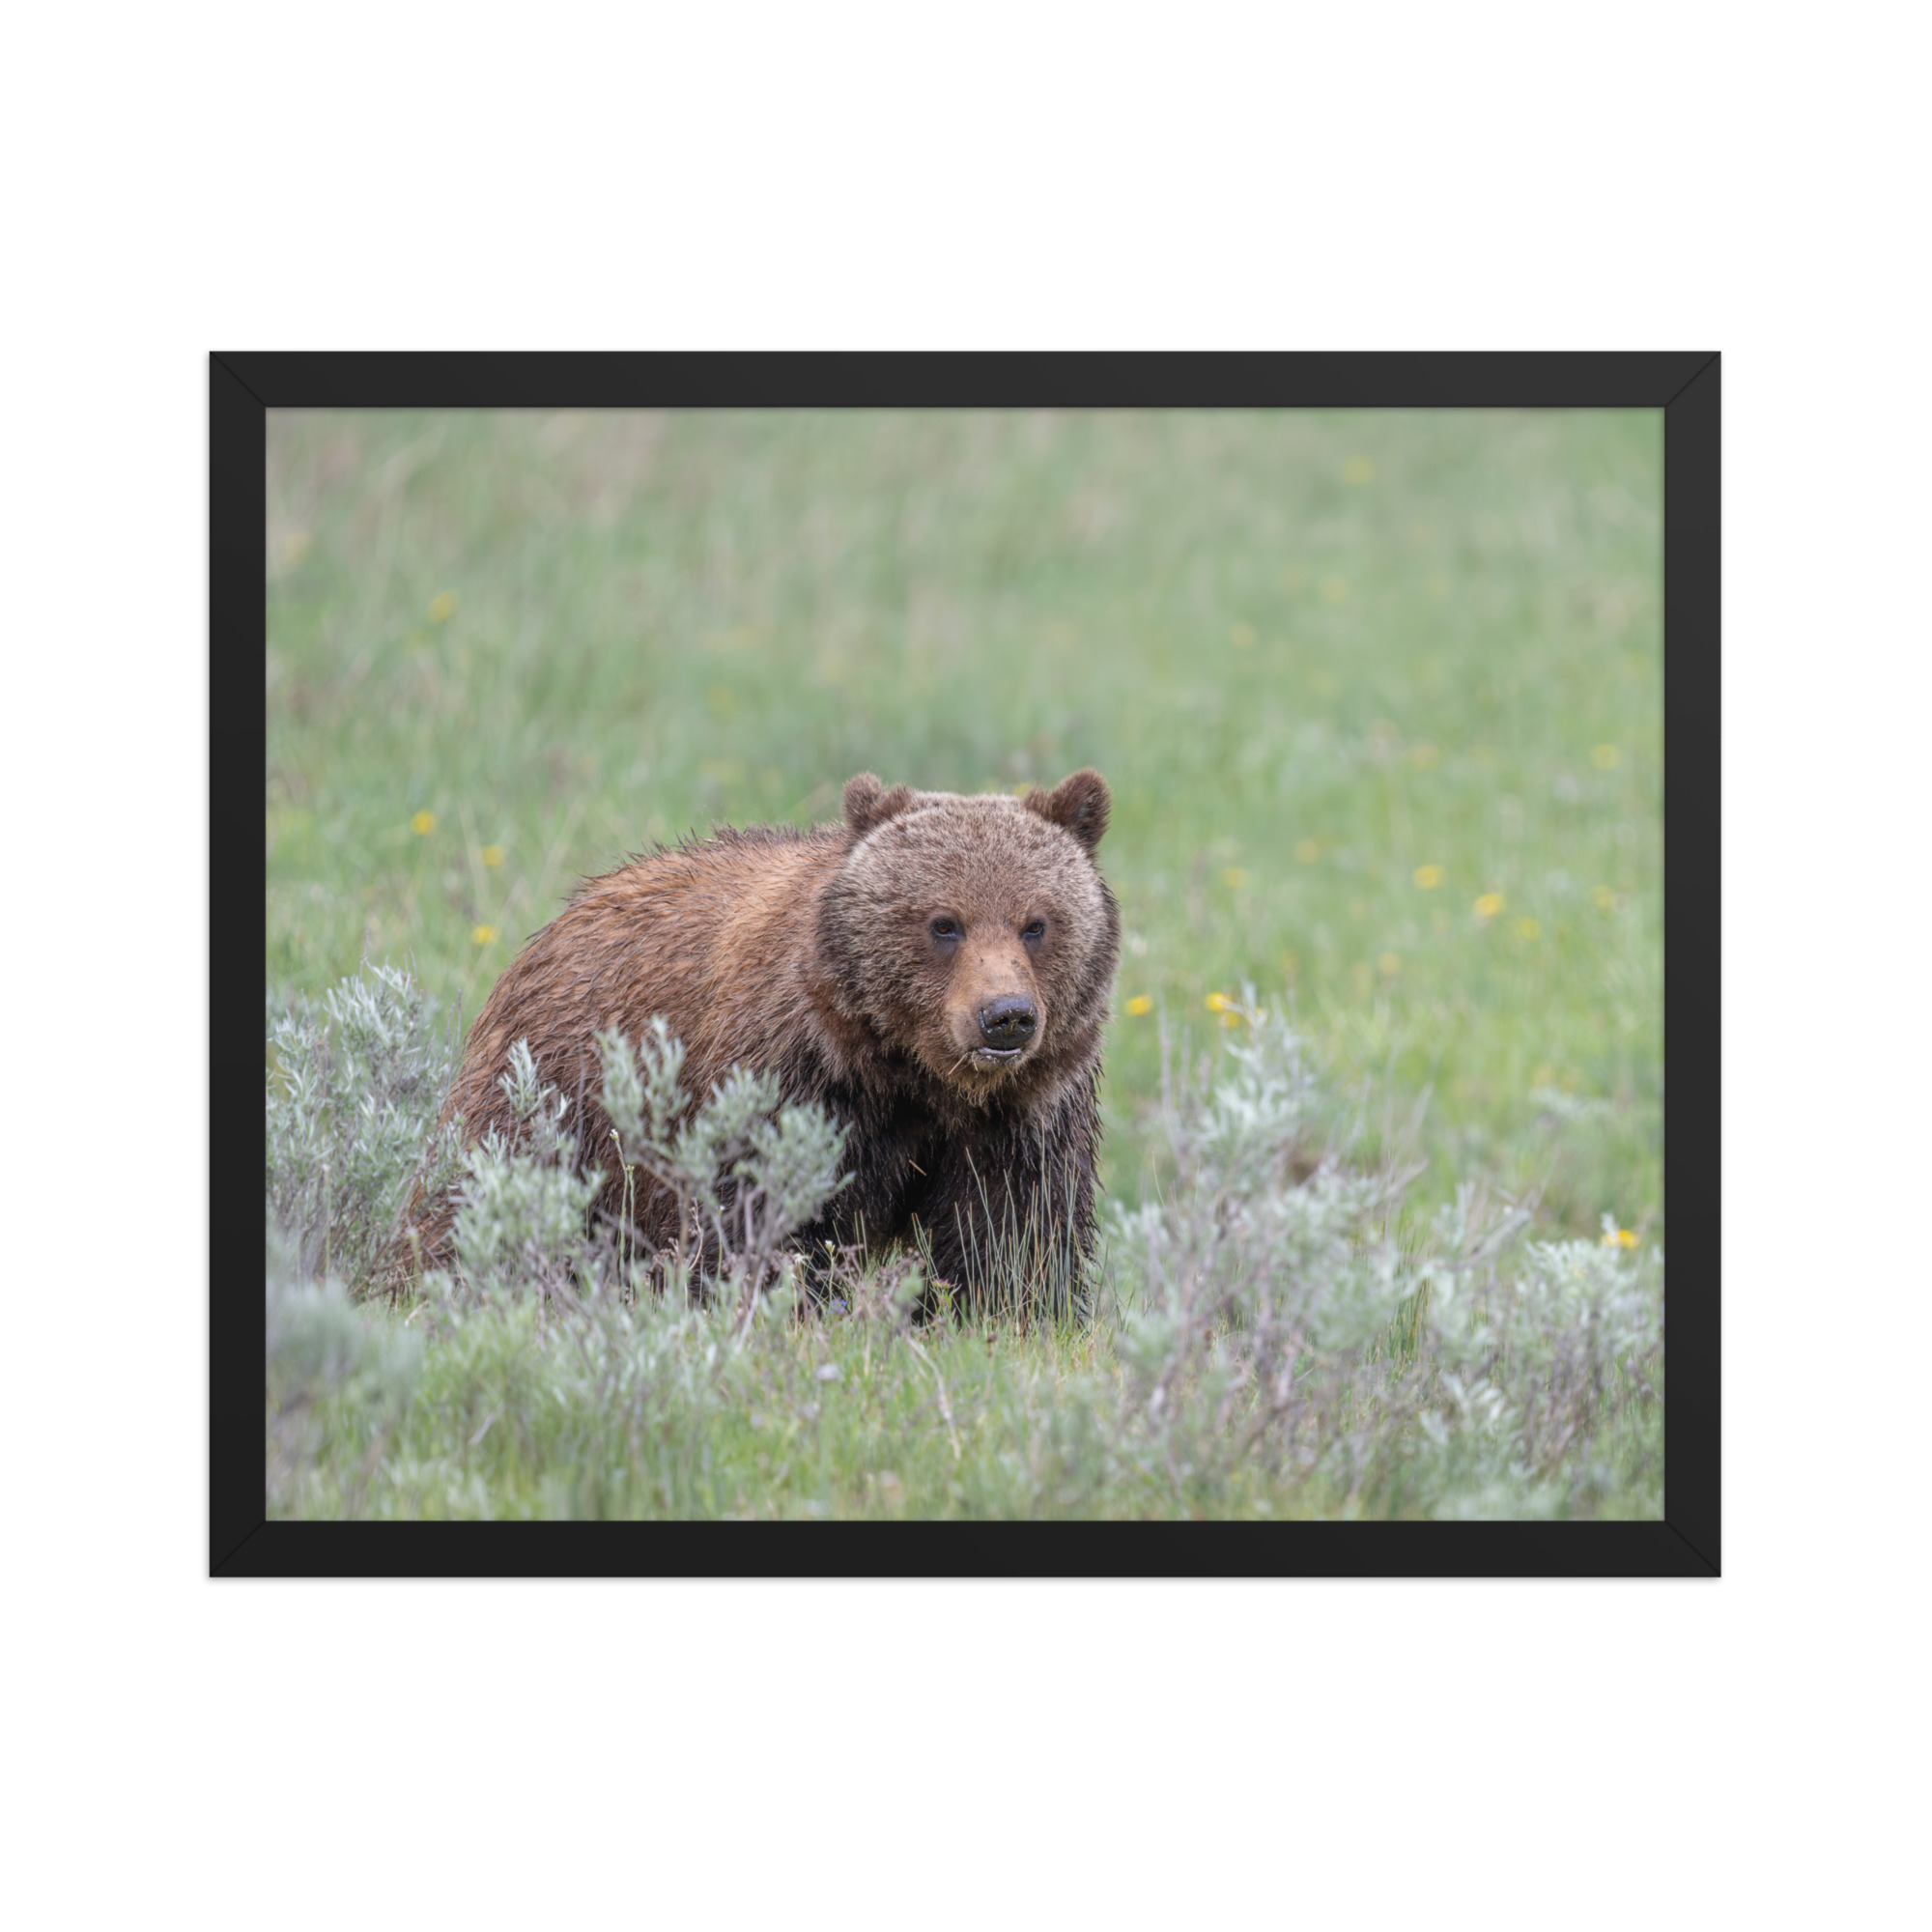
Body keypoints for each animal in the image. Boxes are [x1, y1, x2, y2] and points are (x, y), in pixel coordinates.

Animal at [415, 769, 1120, 1302]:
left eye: (1036, 923)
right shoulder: (792, 1080)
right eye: (944, 923)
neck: (914, 1075)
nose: (1006, 1015)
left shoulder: (1022, 1115)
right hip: (554, 1096)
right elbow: (760, 1216)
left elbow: (1013, 1235)